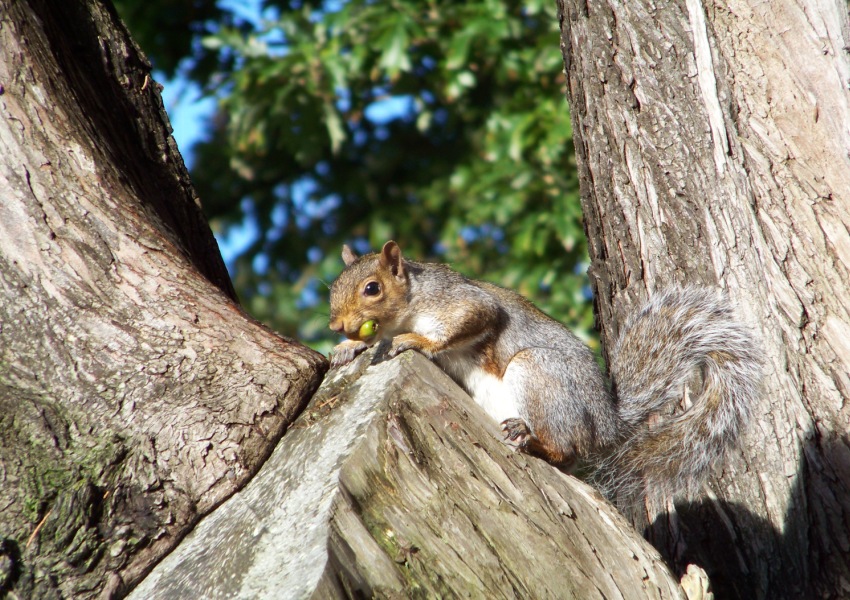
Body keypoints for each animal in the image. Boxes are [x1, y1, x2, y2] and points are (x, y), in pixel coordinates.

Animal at [326, 241, 760, 504]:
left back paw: (533, 440)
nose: (337, 325)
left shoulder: (458, 302)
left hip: (536, 373)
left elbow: (468, 321)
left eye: (372, 288)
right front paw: (347, 348)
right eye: (332, 288)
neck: (412, 301)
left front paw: (415, 342)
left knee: (564, 450)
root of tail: (606, 423)